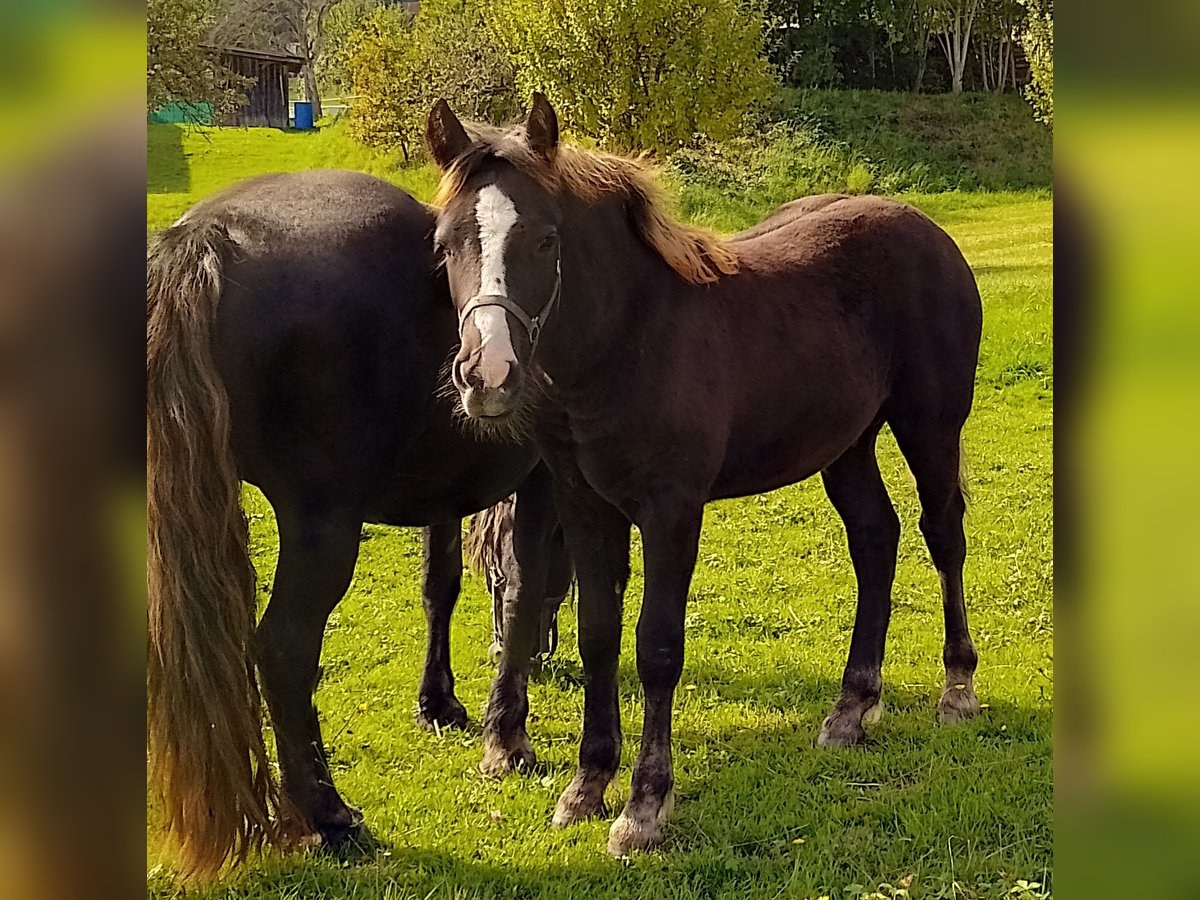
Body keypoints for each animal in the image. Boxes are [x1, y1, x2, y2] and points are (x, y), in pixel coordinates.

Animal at [147, 169, 570, 878]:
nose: (542, 660)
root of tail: (206, 235)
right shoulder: (539, 480)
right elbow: (523, 581)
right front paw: (508, 738)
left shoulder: (442, 496)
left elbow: (439, 587)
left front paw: (440, 704)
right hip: (323, 529)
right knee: (283, 649)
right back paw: (330, 818)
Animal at [425, 95, 984, 856]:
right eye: (446, 243)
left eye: (543, 240)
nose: (487, 374)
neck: (629, 340)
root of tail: (928, 229)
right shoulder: (586, 505)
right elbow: (598, 634)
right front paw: (586, 785)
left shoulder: (671, 509)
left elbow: (657, 646)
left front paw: (643, 808)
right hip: (847, 445)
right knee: (876, 538)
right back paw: (851, 707)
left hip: (930, 425)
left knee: (942, 533)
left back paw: (957, 688)